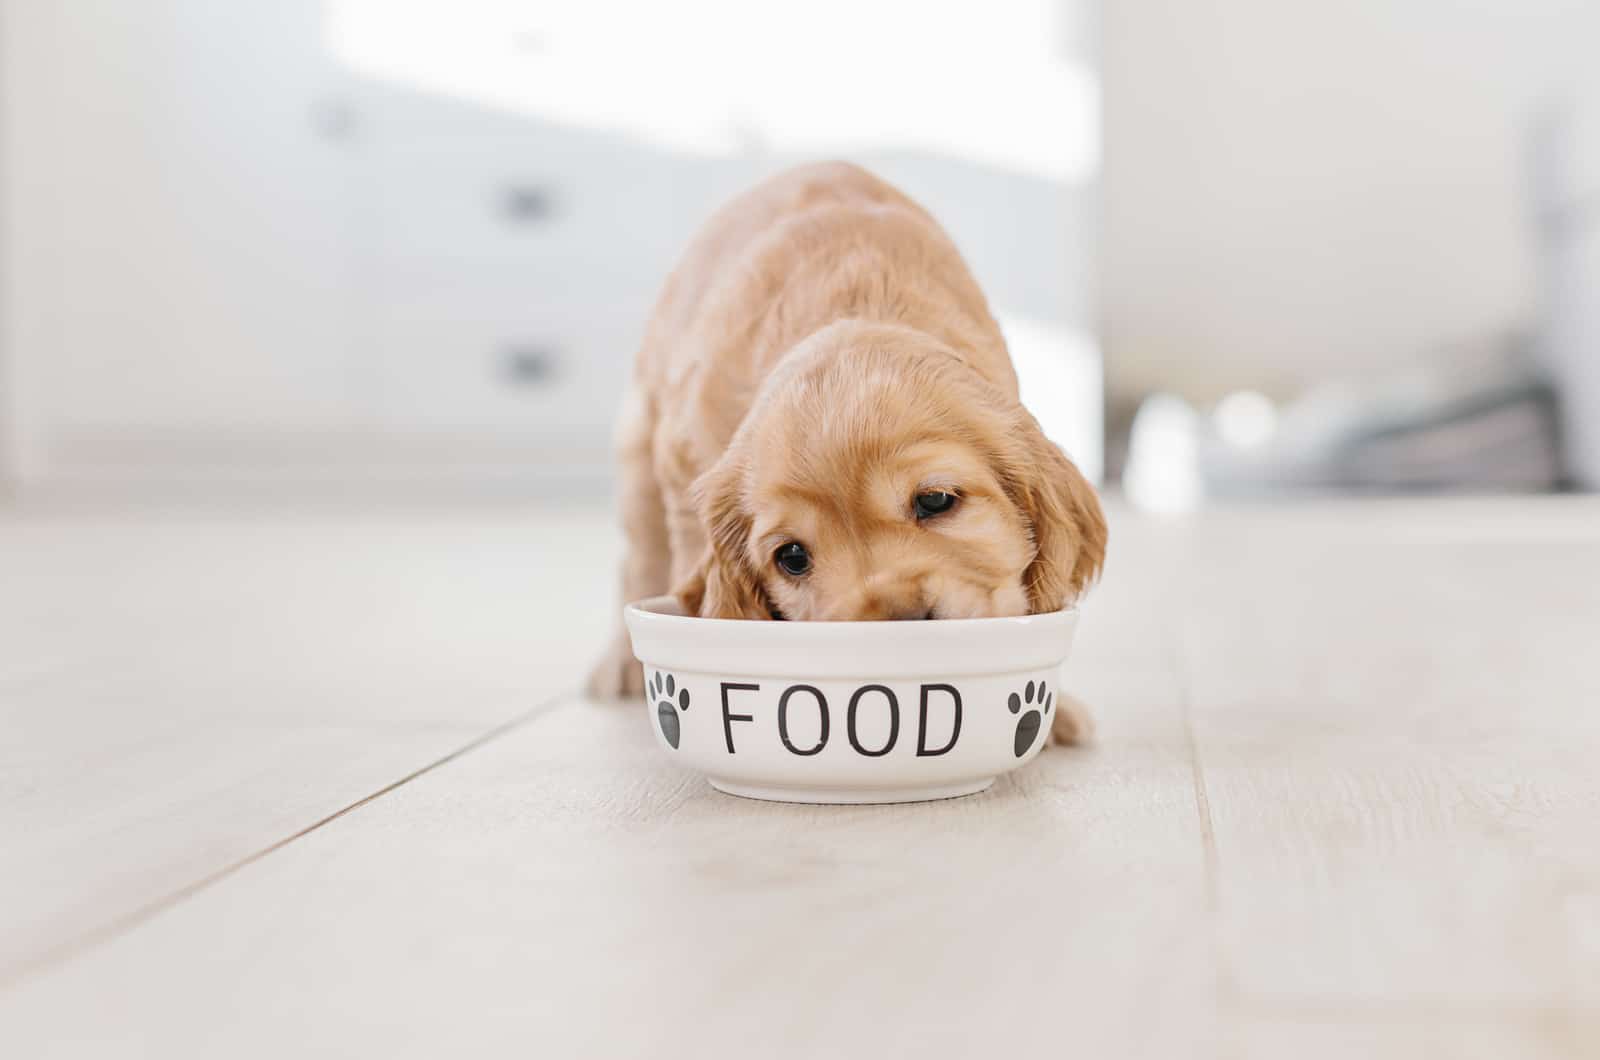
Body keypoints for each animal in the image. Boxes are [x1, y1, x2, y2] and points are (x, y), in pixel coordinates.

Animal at [595, 164, 1107, 746]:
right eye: (792, 557)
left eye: (936, 500)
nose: (903, 621)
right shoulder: (683, 468)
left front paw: (1054, 712)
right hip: (638, 452)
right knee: (638, 560)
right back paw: (619, 664)